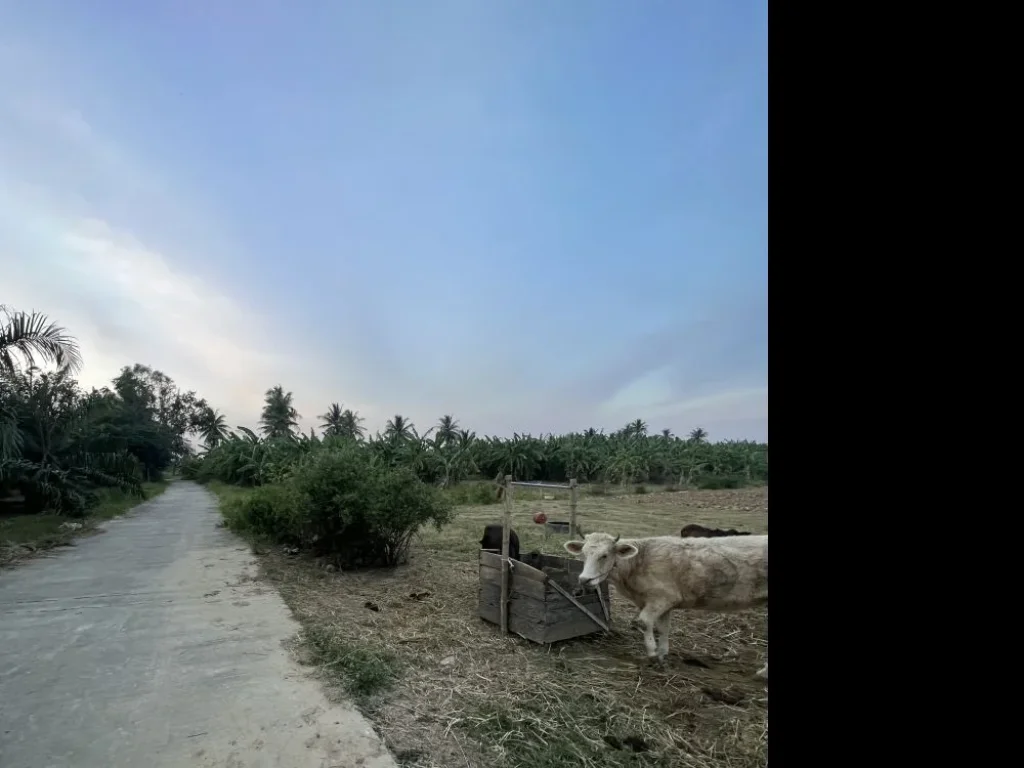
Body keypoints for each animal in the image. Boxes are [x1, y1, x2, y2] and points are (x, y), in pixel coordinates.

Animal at [561, 532, 770, 675]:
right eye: (583, 554)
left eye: (604, 555)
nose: (584, 580)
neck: (639, 562)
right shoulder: (664, 602)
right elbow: (663, 628)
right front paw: (662, 654)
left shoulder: (660, 598)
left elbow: (644, 622)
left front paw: (653, 655)